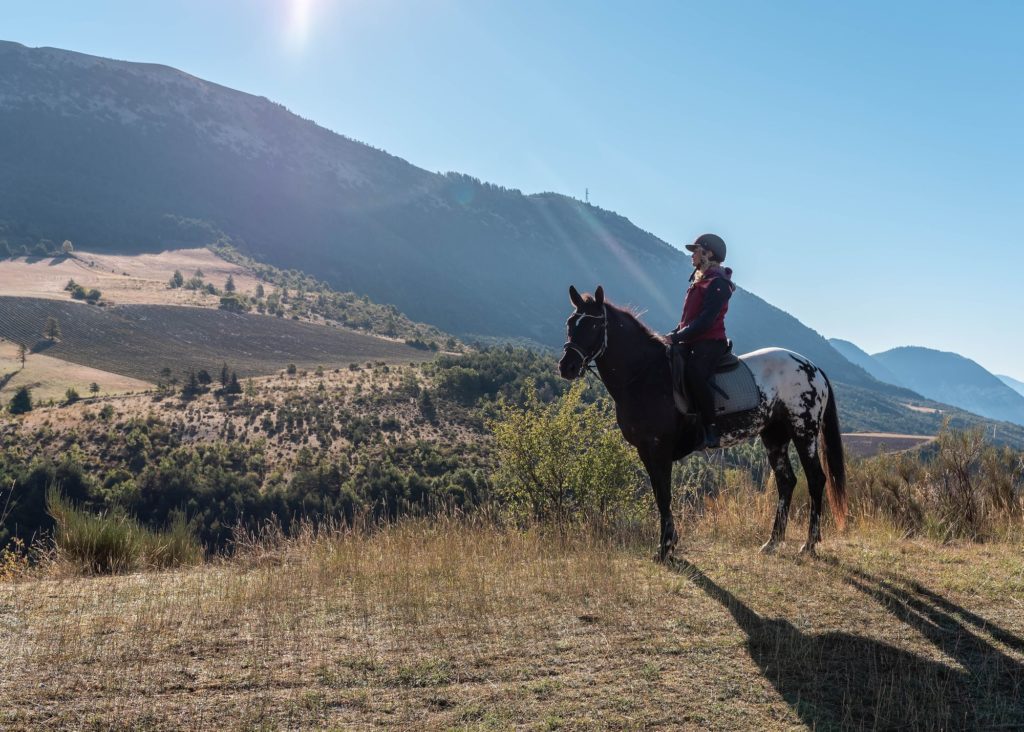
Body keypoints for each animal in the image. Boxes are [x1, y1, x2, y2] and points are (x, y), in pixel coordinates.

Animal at [557, 286, 843, 561]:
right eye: (570, 323)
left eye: (594, 325)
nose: (566, 366)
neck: (645, 375)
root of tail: (813, 367)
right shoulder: (645, 451)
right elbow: (660, 494)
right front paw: (669, 544)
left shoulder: (658, 448)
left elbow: (664, 494)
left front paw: (665, 548)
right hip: (775, 435)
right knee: (786, 482)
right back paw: (772, 543)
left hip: (804, 432)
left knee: (816, 479)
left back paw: (808, 545)